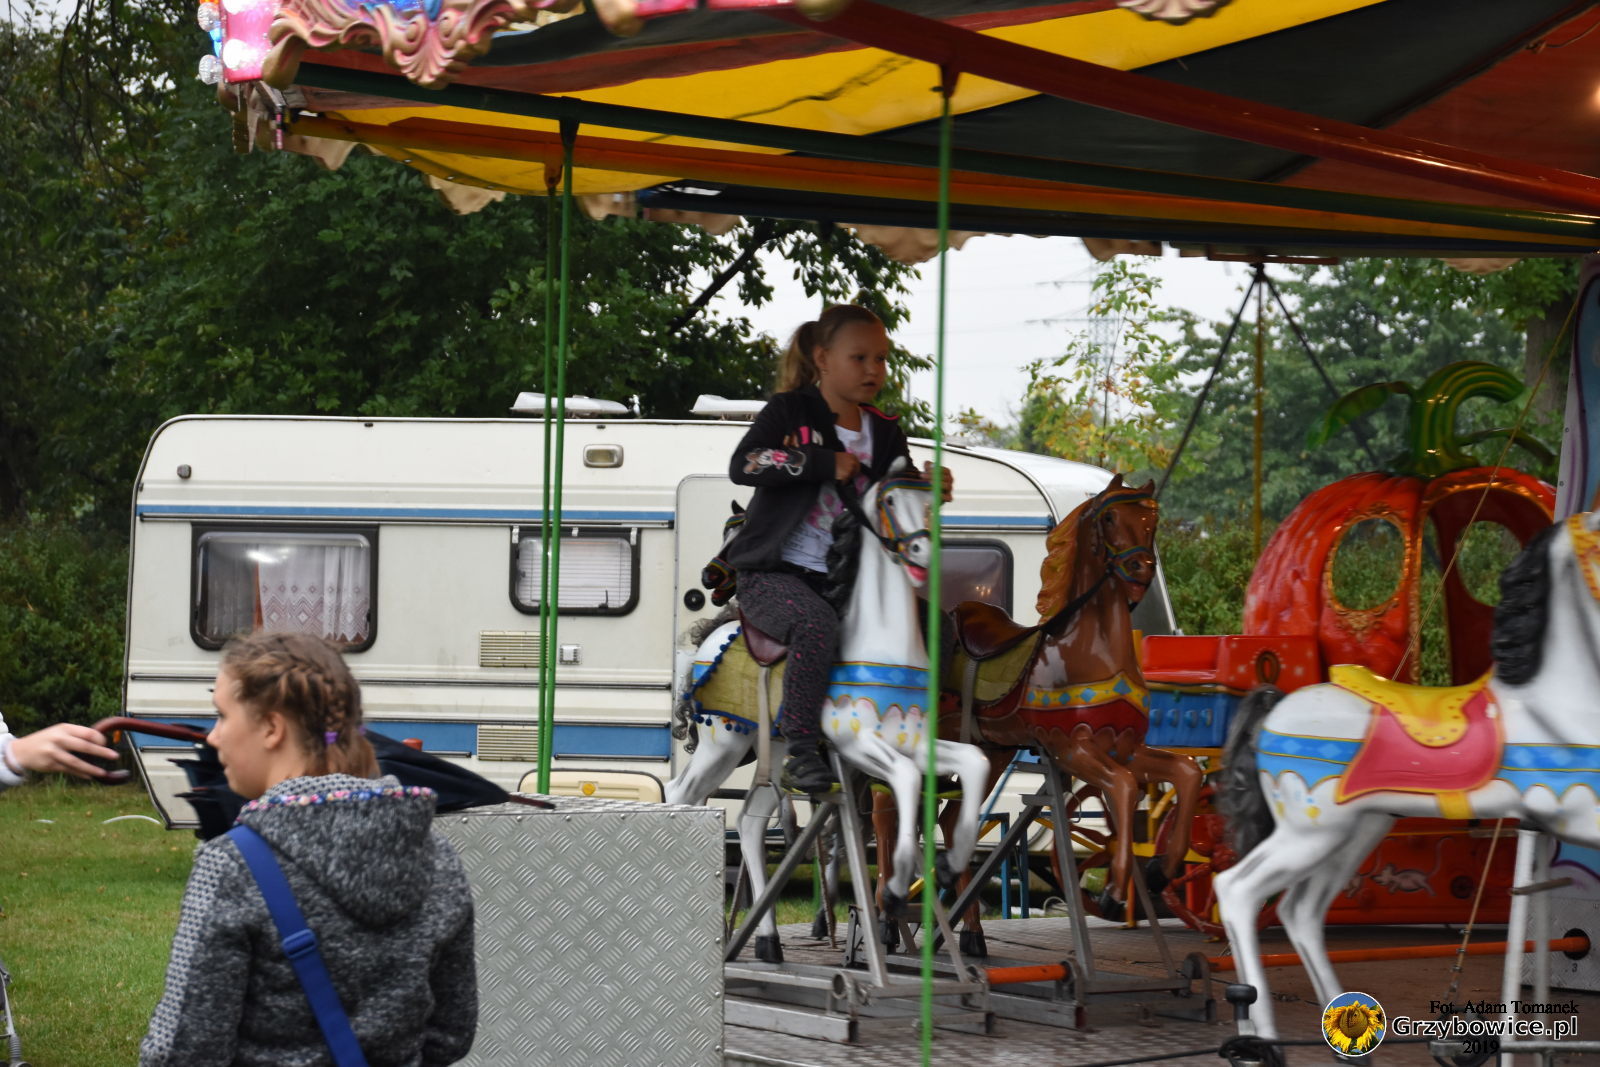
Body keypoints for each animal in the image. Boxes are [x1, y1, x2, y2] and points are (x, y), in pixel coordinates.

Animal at [664, 459, 991, 963]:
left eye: (935, 500)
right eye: (889, 501)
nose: (711, 576)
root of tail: (709, 640)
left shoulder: (914, 742)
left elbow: (971, 764)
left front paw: (947, 864)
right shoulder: (857, 744)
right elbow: (894, 792)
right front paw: (891, 893)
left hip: (776, 751)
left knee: (749, 822)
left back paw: (769, 940)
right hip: (725, 742)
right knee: (682, 792)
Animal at [873, 474, 1205, 952]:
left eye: (1152, 517)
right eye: (1109, 517)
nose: (1141, 568)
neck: (1091, 649)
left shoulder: (1123, 746)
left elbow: (1186, 772)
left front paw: (1161, 868)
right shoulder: (1071, 748)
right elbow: (1124, 788)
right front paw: (1110, 891)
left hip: (988, 752)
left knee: (951, 820)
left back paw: (971, 934)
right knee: (885, 807)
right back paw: (885, 919)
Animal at [1213, 514, 1600, 1039]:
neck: (1554, 699)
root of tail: (1274, 705)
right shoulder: (1574, 810)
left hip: (1357, 831)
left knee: (1301, 910)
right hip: (1310, 831)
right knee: (1237, 890)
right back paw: (1264, 1034)